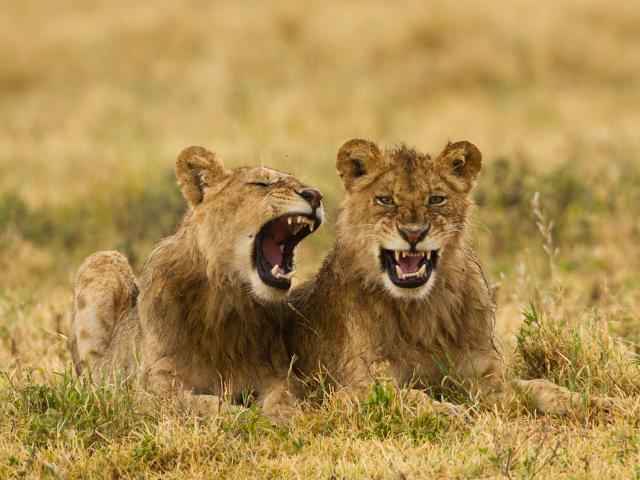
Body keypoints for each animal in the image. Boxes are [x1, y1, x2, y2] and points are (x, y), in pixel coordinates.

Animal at [69, 145, 324, 420]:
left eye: (303, 184)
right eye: (262, 184)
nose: (316, 195)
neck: (229, 298)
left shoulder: (279, 374)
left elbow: (284, 397)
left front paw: (283, 416)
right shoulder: (153, 389)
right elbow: (207, 405)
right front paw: (250, 417)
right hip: (103, 260)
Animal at [284, 139, 580, 414]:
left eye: (436, 199)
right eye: (385, 199)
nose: (413, 233)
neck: (420, 311)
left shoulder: (484, 375)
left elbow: (534, 385)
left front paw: (579, 399)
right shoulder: (349, 388)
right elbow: (404, 397)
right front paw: (449, 411)